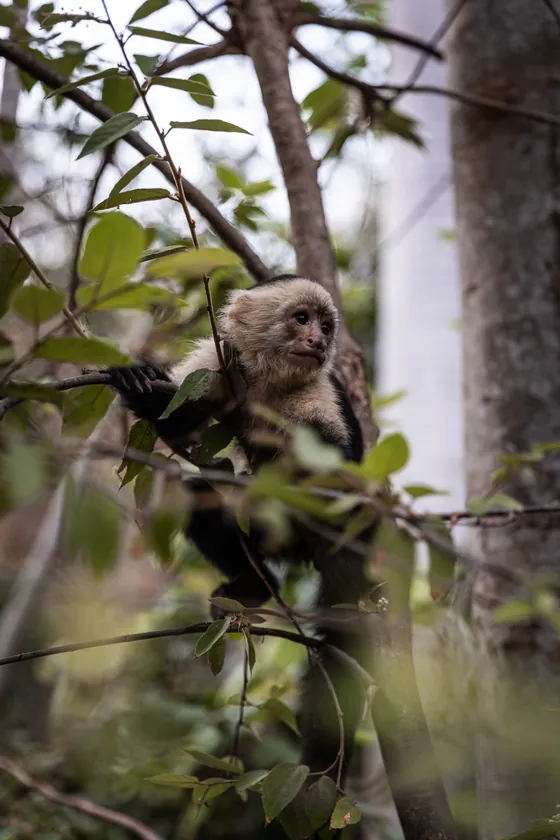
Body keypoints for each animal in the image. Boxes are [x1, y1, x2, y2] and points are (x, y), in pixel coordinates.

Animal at [105, 274, 374, 793]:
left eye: (326, 326)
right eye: (302, 319)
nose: (319, 341)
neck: (268, 383)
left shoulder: (319, 394)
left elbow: (334, 479)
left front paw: (270, 460)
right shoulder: (215, 368)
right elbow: (181, 428)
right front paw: (139, 383)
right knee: (199, 494)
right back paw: (254, 587)